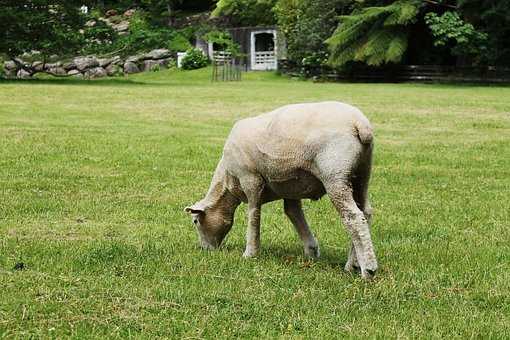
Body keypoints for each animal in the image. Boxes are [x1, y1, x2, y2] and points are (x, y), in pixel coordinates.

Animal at [185, 101, 376, 278]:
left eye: (195, 221)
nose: (205, 250)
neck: (227, 180)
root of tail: (359, 123)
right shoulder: (291, 187)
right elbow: (293, 213)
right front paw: (311, 252)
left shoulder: (250, 179)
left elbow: (253, 215)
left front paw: (250, 253)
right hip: (361, 173)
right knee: (365, 212)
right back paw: (353, 264)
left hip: (335, 174)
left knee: (353, 217)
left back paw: (368, 269)